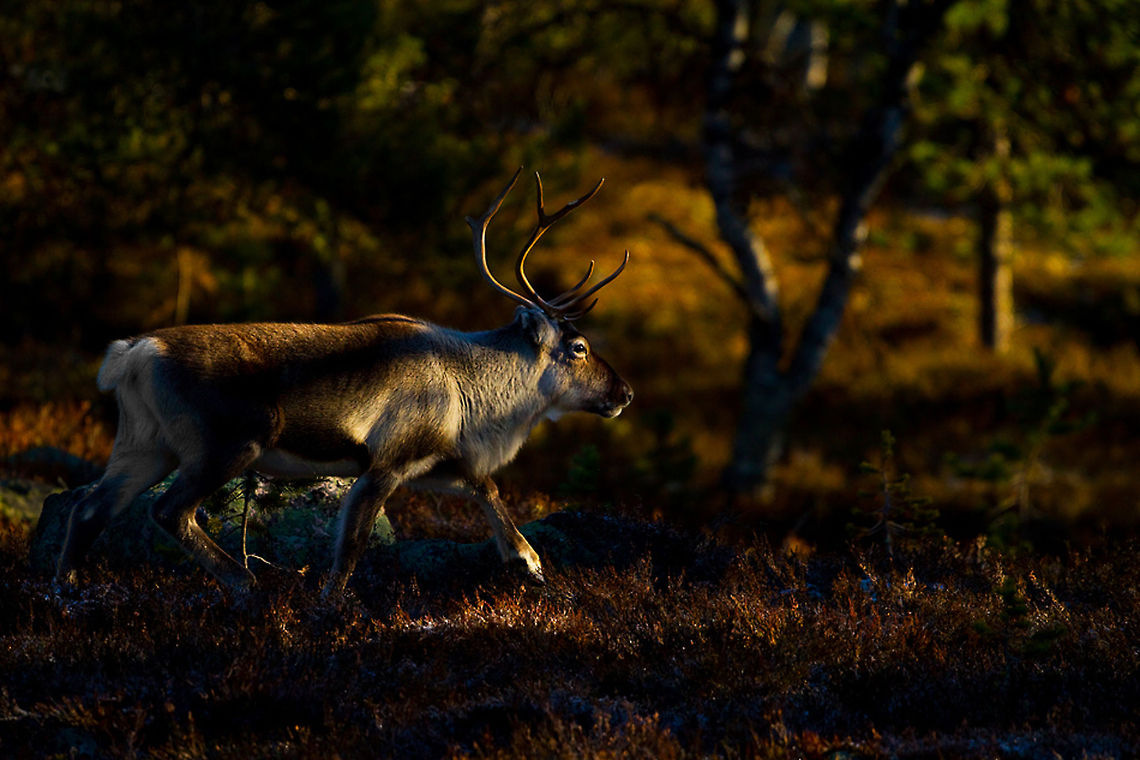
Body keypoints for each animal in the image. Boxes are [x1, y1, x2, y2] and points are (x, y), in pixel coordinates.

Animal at [55, 167, 633, 597]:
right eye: (579, 347)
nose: (624, 393)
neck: (476, 394)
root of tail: (131, 354)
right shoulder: (387, 461)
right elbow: (348, 552)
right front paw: (329, 615)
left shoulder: (436, 460)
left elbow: (486, 487)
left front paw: (527, 559)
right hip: (226, 444)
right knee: (168, 511)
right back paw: (248, 586)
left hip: (144, 444)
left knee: (88, 508)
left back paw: (66, 594)